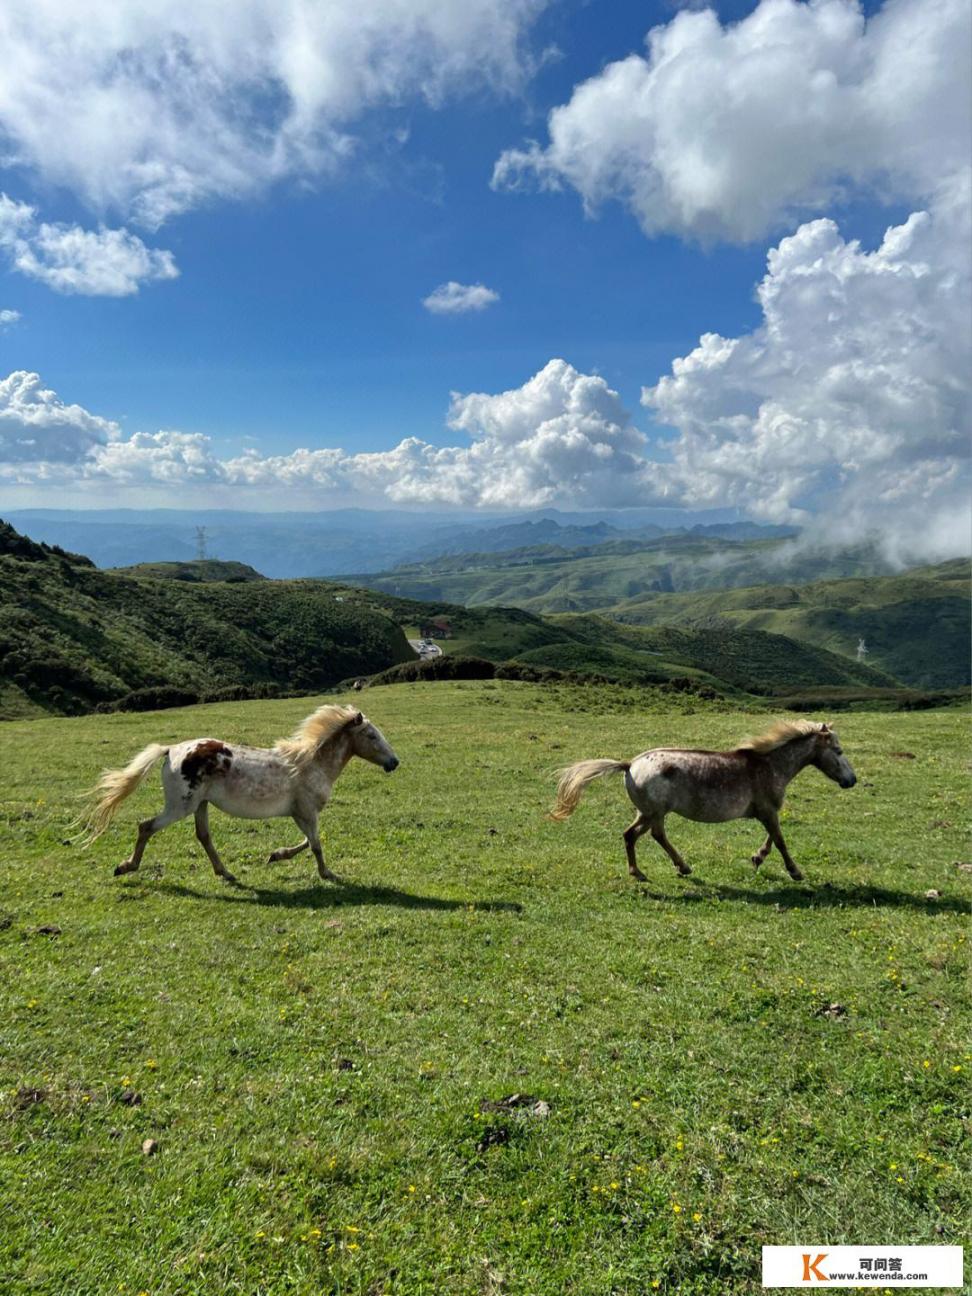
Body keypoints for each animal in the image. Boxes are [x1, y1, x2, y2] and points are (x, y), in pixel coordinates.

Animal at [81, 710, 399, 881]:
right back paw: (126, 866)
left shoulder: (300, 813)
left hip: (201, 805)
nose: (394, 763)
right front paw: (327, 874)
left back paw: (226, 873)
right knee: (146, 827)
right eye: (371, 736)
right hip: (180, 806)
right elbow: (316, 845)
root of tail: (171, 750)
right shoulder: (307, 812)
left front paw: (277, 855)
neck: (311, 764)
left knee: (203, 836)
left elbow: (308, 842)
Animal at [552, 720, 855, 881]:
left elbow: (772, 838)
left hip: (646, 812)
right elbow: (780, 839)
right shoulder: (768, 811)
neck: (770, 765)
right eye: (838, 751)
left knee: (636, 835)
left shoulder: (767, 811)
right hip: (655, 812)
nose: (852, 780)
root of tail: (630, 765)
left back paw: (648, 871)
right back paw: (671, 868)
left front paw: (757, 858)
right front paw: (795, 871)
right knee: (650, 835)